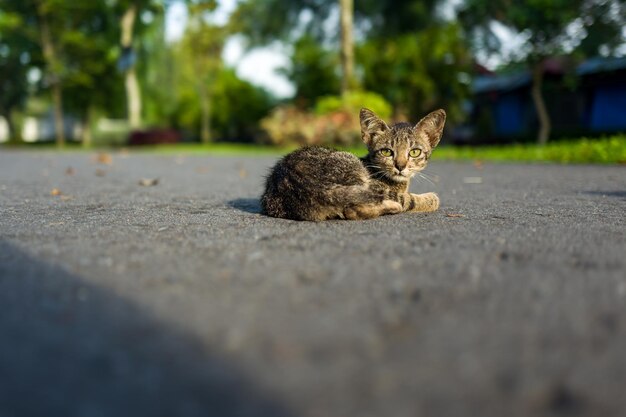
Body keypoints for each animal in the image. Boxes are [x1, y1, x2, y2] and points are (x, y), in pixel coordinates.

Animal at [258, 109, 444, 223]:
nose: (400, 166)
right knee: (352, 211)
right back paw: (392, 207)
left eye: (414, 152)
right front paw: (429, 198)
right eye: (386, 152)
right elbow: (413, 200)